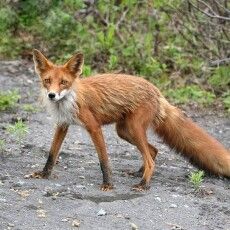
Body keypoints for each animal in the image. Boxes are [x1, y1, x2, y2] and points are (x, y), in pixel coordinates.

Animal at [28, 49, 230, 190]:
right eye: (47, 81)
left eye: (64, 82)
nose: (52, 95)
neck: (70, 100)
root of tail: (157, 91)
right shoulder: (62, 125)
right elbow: (52, 154)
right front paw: (44, 174)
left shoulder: (94, 127)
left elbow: (104, 160)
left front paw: (108, 184)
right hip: (124, 131)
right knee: (153, 151)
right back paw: (140, 173)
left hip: (133, 128)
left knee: (150, 158)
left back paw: (144, 184)